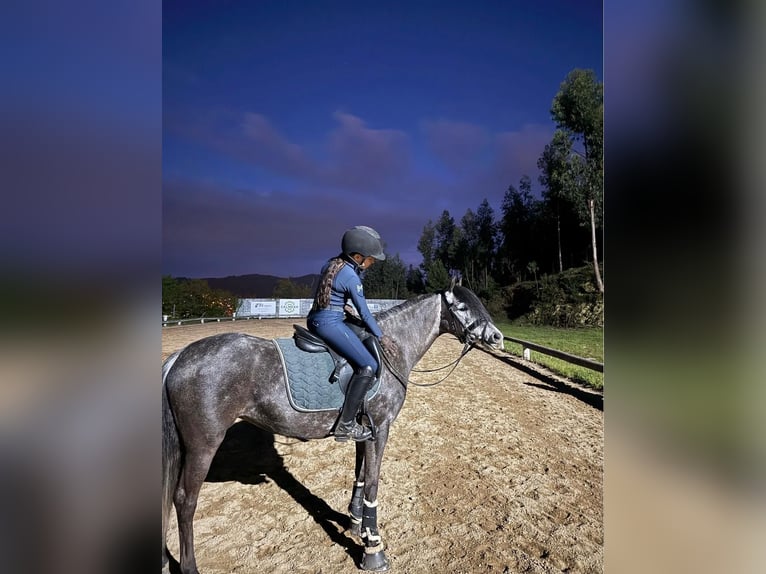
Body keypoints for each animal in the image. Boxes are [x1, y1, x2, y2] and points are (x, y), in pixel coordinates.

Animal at [162, 284, 505, 573]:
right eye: (462, 306)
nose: (497, 337)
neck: (390, 349)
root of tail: (180, 357)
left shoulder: (363, 430)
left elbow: (360, 474)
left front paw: (354, 523)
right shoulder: (381, 428)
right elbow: (374, 483)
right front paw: (373, 549)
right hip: (203, 444)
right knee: (185, 500)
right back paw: (189, 567)